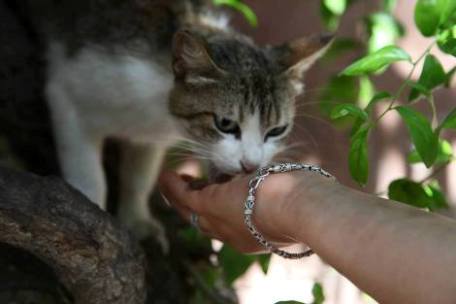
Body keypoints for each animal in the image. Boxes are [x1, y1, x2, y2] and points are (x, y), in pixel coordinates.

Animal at [24, 0, 332, 248]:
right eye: (225, 124)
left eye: (276, 130)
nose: (250, 165)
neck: (159, 109)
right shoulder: (69, 95)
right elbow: (89, 178)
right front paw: (91, 213)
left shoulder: (148, 138)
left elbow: (138, 175)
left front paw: (136, 219)